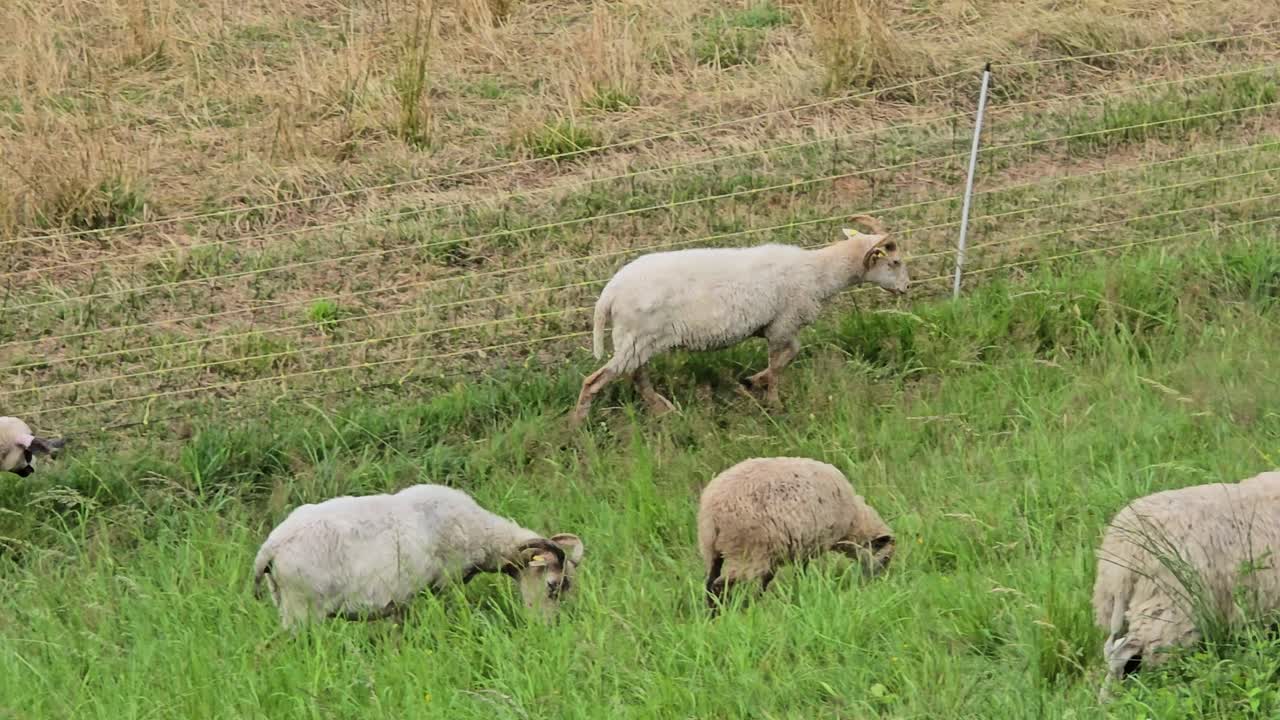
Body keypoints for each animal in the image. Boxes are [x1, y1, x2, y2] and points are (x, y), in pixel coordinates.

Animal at [252, 483, 585, 628]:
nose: (549, 628)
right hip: (302, 609)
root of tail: (270, 548)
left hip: (284, 601)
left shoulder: (402, 601)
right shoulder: (446, 583)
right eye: (553, 586)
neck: (481, 532)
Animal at [569, 215, 908, 426]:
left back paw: (661, 409)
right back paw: (578, 425)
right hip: (637, 338)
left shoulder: (777, 326)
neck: (819, 272)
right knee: (596, 380)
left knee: (637, 376)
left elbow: (788, 357)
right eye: (894, 261)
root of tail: (609, 295)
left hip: (638, 341)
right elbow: (779, 362)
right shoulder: (784, 323)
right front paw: (773, 401)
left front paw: (753, 382)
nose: (907, 288)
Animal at [697, 456, 895, 615]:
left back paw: (711, 614)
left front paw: (758, 600)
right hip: (746, 552)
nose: (878, 583)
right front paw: (798, 593)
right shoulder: (807, 545)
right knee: (719, 585)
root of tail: (713, 510)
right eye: (886, 559)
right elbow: (800, 573)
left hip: (712, 549)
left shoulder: (778, 551)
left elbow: (768, 578)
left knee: (709, 582)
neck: (854, 520)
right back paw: (721, 613)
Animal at [1093, 470, 1280, 701]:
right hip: (1170, 607)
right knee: (1124, 652)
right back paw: (1111, 700)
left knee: (1112, 648)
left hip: (1117, 604)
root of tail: (1124, 553)